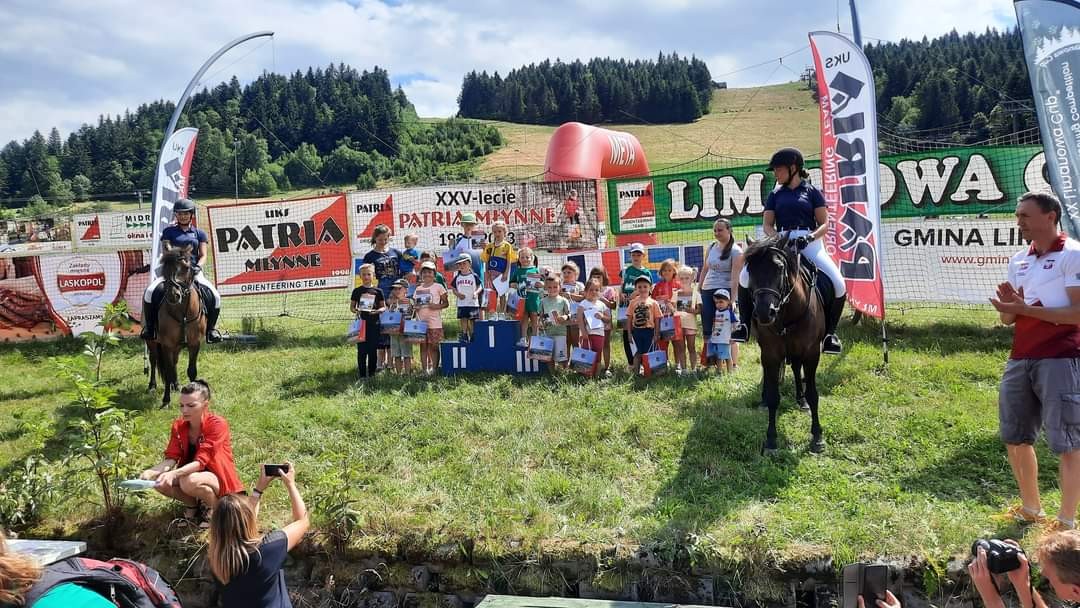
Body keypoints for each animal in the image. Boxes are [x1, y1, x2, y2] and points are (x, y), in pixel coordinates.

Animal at [144, 243, 205, 407]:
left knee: (175, 362)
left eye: (186, 267)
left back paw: (176, 385)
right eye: (164, 268)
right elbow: (167, 370)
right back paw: (152, 385)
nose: (173, 295)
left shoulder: (194, 343)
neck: (183, 312)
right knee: (153, 360)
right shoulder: (166, 344)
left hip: (177, 346)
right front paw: (166, 400)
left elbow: (191, 370)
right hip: (152, 341)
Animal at [742, 233, 829, 455]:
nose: (765, 312)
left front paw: (817, 437)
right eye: (750, 269)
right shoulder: (770, 354)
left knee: (797, 369)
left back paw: (801, 399)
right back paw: (765, 399)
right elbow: (774, 396)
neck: (788, 315)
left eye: (779, 267)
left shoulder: (812, 353)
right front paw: (771, 440)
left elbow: (813, 394)